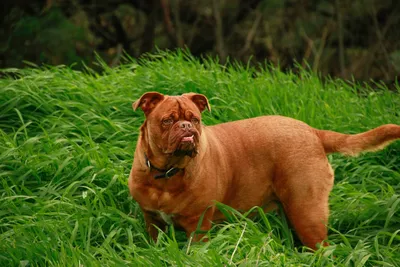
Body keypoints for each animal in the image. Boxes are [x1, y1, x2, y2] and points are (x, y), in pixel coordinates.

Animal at [129, 92, 400, 251]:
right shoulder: (152, 221)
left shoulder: (198, 226)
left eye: (195, 119)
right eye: (167, 120)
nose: (186, 127)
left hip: (307, 211)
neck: (166, 174)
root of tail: (313, 132)